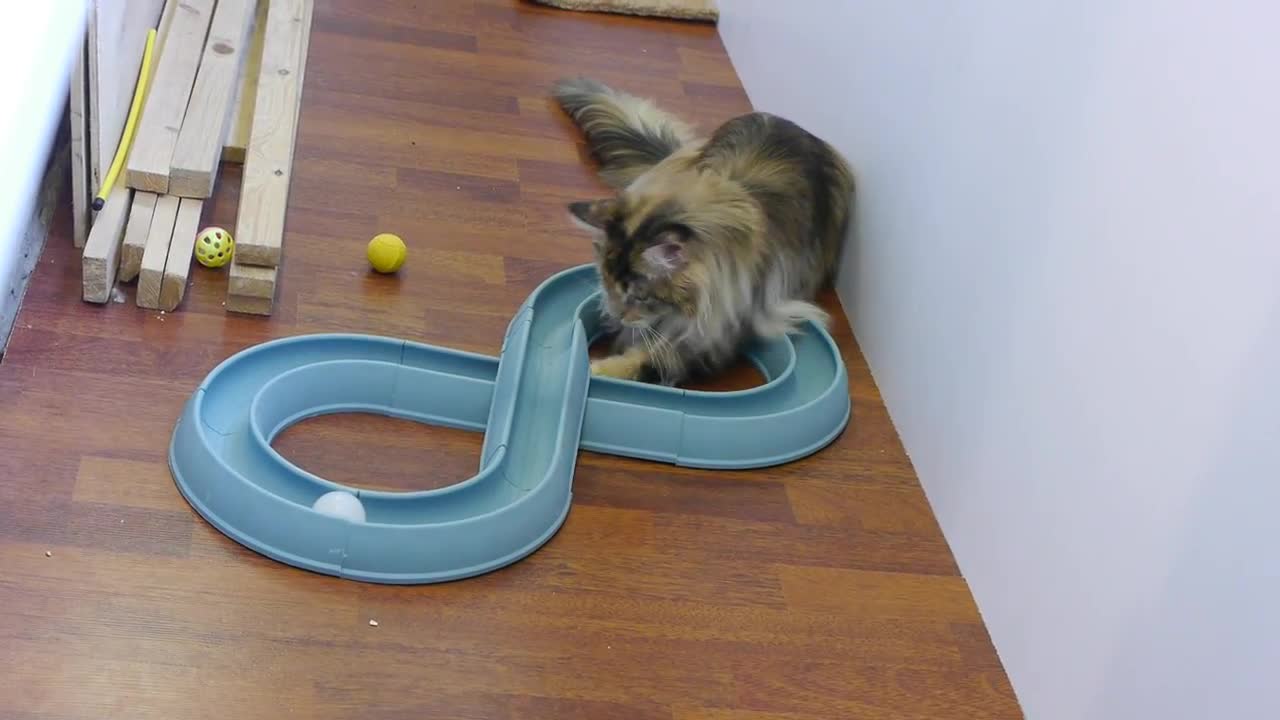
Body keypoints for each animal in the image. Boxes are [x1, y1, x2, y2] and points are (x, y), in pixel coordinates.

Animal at [555, 75, 855, 384]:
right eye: (607, 284)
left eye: (641, 296)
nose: (616, 316)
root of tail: (794, 126)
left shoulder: (721, 330)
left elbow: (649, 357)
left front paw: (595, 369)